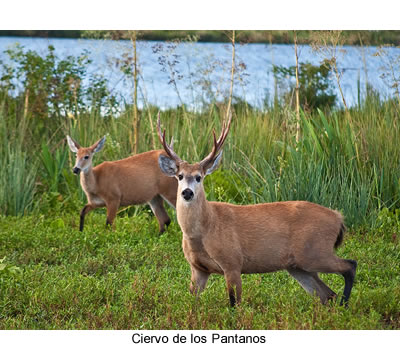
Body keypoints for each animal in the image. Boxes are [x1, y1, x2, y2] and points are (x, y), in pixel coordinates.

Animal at [155, 113, 356, 308]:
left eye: (199, 177)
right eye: (180, 176)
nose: (187, 192)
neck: (205, 228)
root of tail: (338, 217)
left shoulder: (232, 262)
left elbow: (234, 304)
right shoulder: (198, 269)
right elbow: (192, 301)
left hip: (315, 251)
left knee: (350, 266)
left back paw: (345, 306)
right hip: (299, 266)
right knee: (327, 294)